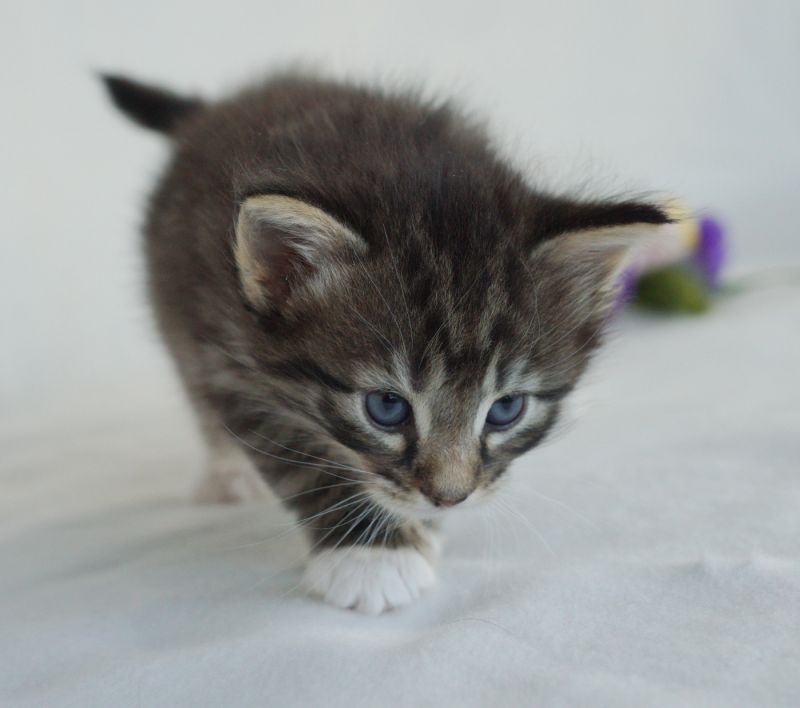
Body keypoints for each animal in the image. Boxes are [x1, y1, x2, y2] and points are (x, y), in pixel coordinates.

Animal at [103, 73, 672, 612]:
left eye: (506, 410)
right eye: (386, 408)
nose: (449, 499)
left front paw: (418, 531)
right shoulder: (231, 353)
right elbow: (302, 462)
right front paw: (370, 556)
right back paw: (227, 474)